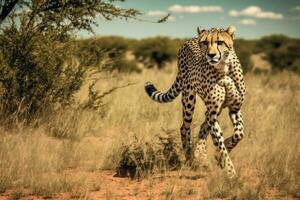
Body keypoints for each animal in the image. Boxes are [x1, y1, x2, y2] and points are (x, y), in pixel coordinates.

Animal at [145, 25, 246, 177]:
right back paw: (190, 158)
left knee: (204, 125)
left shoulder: (234, 108)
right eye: (204, 43)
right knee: (185, 127)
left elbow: (239, 133)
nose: (211, 55)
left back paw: (200, 151)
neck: (224, 69)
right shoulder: (213, 112)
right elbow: (219, 143)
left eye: (220, 42)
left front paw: (224, 150)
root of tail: (188, 40)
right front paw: (230, 172)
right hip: (189, 99)